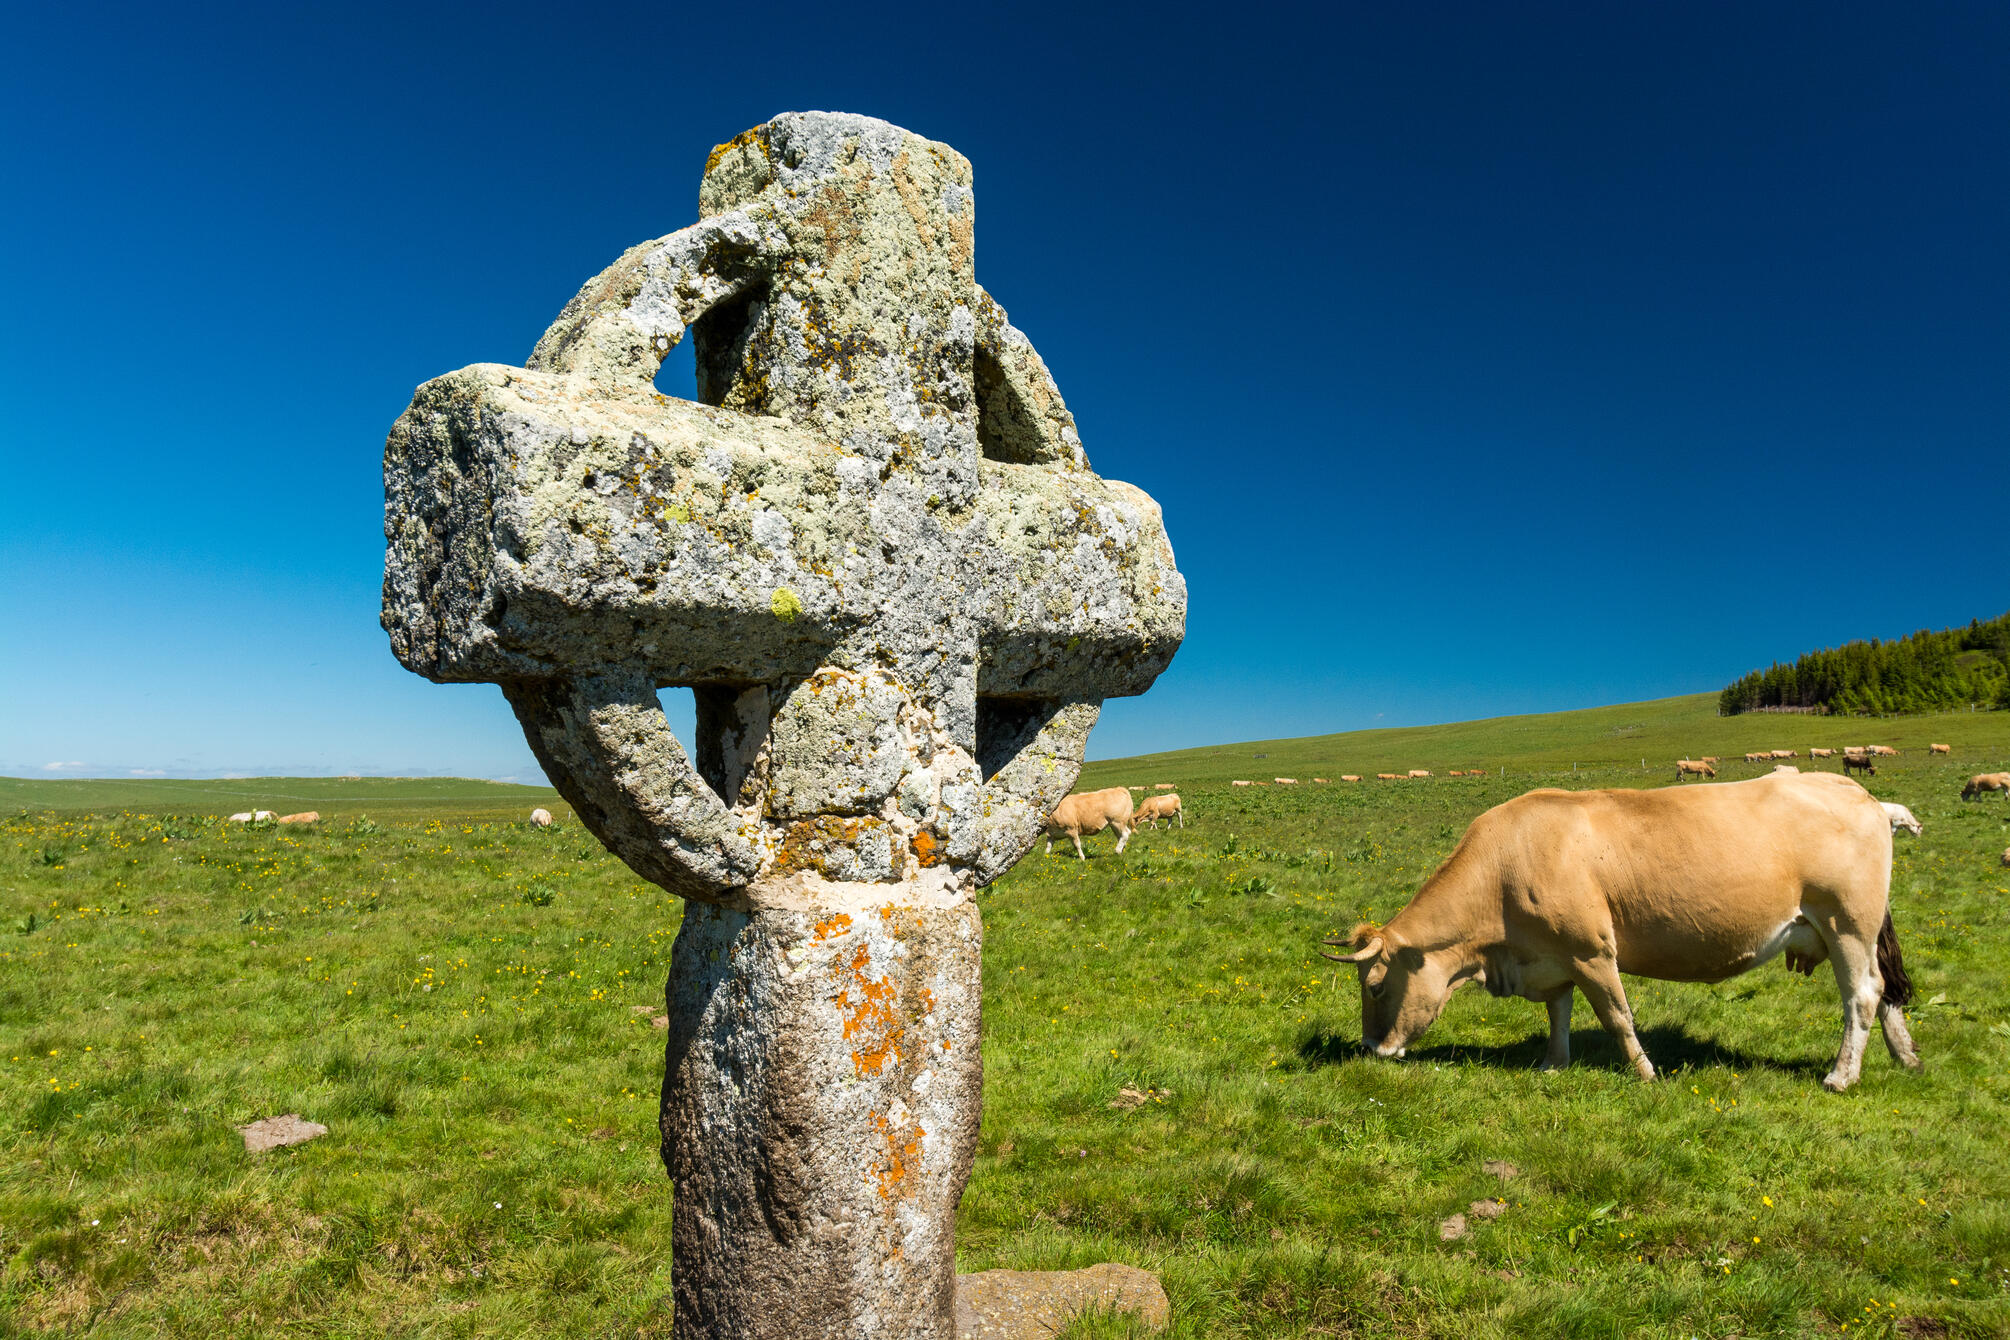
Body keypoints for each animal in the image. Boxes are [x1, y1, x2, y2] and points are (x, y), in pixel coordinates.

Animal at [1320, 771, 1919, 1092]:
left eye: (1376, 985)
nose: (1370, 1048)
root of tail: (1865, 796)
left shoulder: (1591, 951)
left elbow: (1616, 1015)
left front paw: (1646, 1072)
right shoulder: (1552, 956)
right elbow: (1558, 1013)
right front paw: (1552, 1064)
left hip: (1846, 923)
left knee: (1862, 995)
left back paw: (1841, 1075)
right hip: (1858, 930)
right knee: (1887, 990)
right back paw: (1905, 1057)